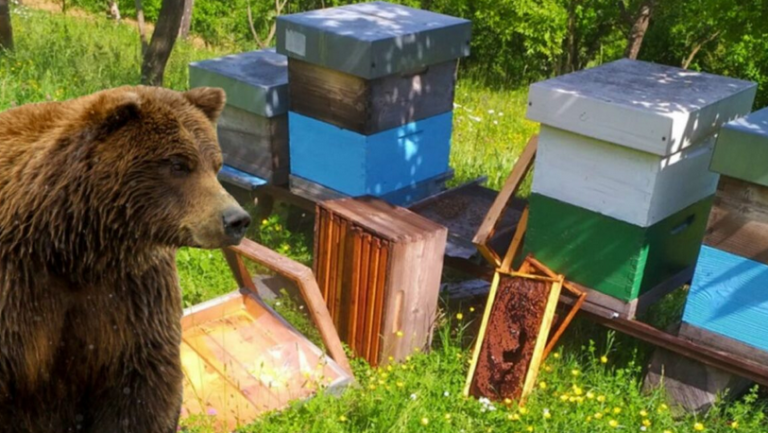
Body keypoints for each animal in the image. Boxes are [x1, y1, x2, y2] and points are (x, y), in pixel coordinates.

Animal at [0, 85, 249, 432]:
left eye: (216, 164)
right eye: (178, 164)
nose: (236, 219)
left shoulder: (132, 293)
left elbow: (142, 385)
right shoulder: (19, 286)